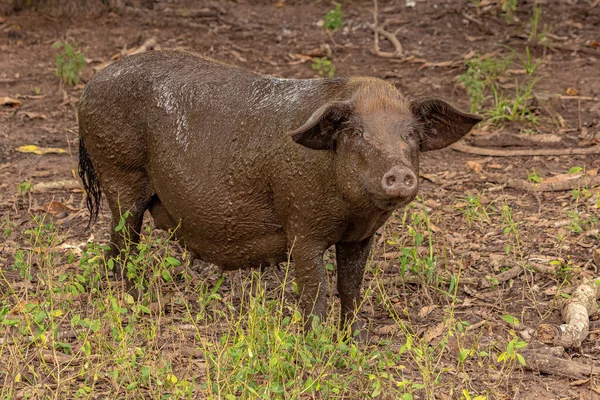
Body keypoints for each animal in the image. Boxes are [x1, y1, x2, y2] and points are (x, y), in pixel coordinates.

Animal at [78, 49, 482, 338]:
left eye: (411, 134)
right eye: (356, 134)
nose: (399, 173)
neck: (352, 212)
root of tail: (90, 85)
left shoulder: (361, 236)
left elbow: (350, 287)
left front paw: (353, 341)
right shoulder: (301, 225)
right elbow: (315, 291)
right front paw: (317, 346)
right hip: (119, 174)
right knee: (122, 243)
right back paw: (133, 300)